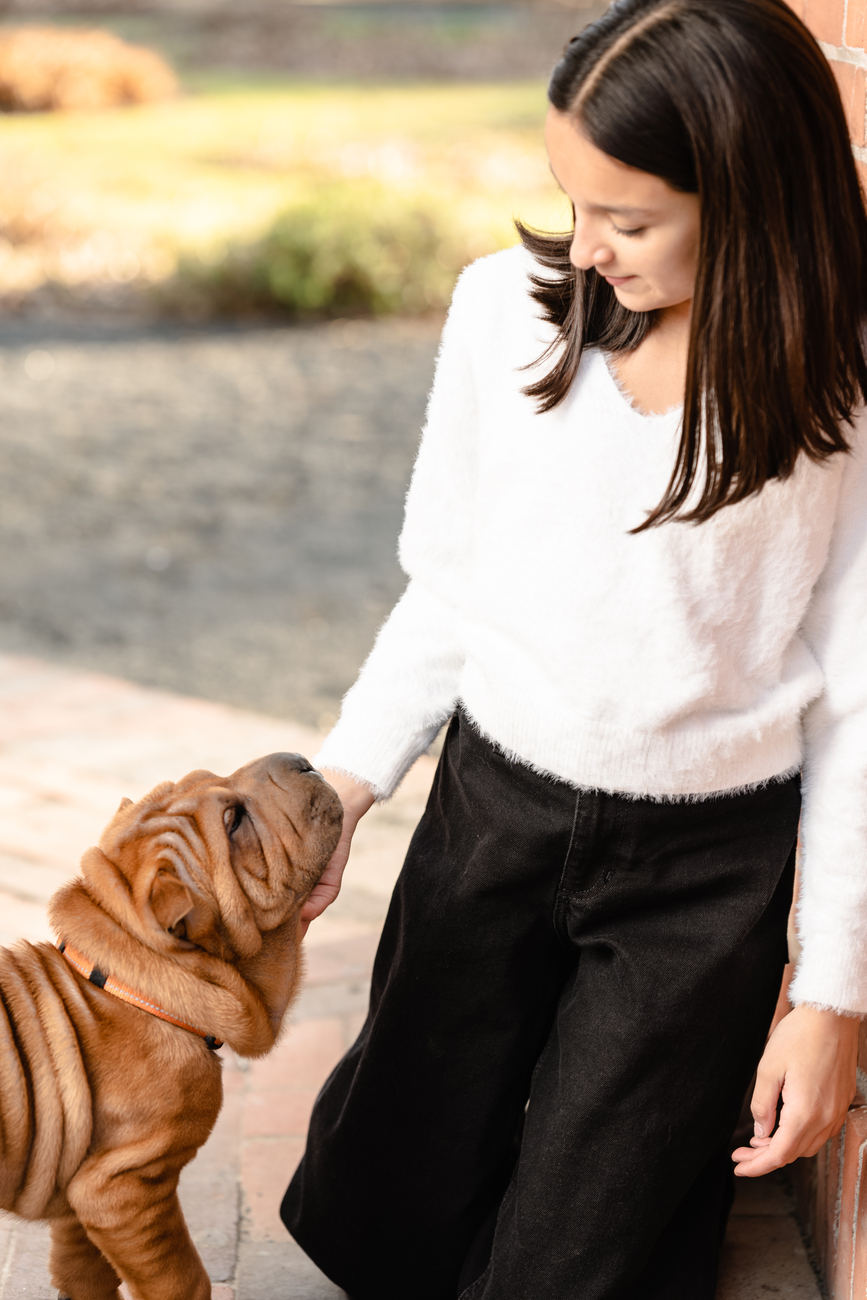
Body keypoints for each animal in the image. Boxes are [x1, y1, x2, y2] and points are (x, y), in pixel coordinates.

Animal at [0, 751, 342, 1300]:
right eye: (233, 822)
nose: (302, 760)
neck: (132, 985)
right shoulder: (123, 1187)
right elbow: (180, 1278)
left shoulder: (79, 1185)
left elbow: (82, 1266)